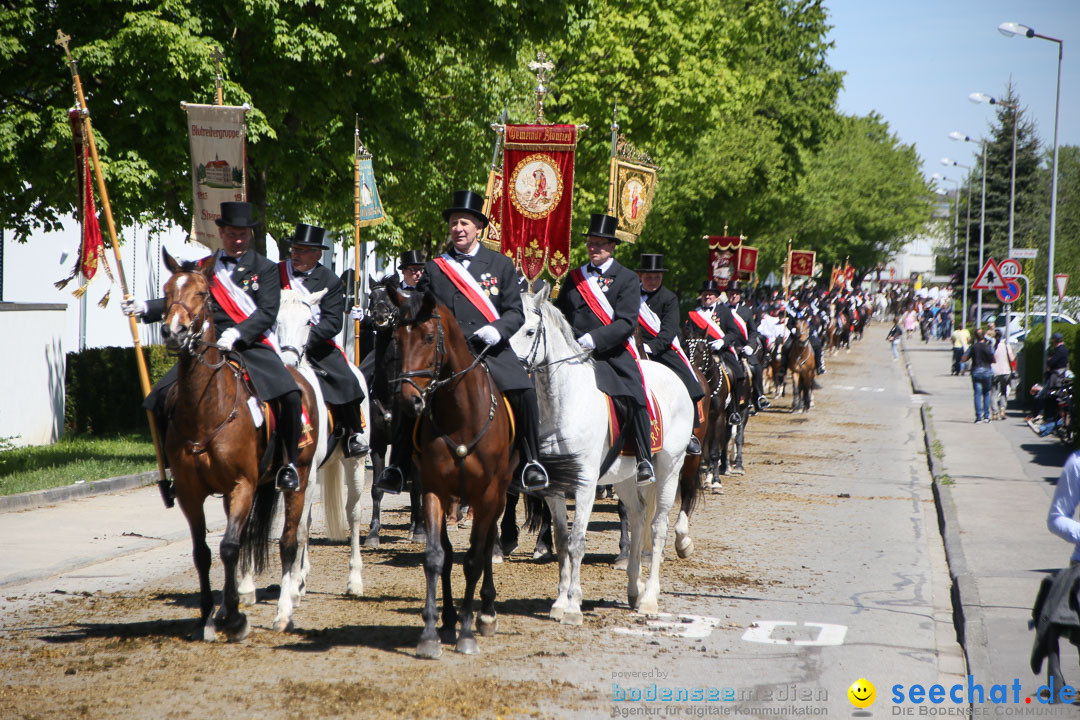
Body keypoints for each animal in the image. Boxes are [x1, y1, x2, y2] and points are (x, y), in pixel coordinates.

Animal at [157, 252, 315, 643]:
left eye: (202, 293)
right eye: (166, 291)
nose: (173, 331)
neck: (205, 409)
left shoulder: (241, 484)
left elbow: (229, 547)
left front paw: (232, 616)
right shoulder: (190, 493)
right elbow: (203, 552)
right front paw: (207, 615)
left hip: (301, 479)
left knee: (289, 541)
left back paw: (284, 612)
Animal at [236, 287, 371, 630]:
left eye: (310, 321)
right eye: (274, 320)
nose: (286, 361)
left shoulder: (301, 476)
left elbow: (295, 532)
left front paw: (289, 593)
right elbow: (254, 528)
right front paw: (247, 587)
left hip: (353, 464)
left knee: (353, 513)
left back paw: (354, 581)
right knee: (307, 521)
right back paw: (302, 578)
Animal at [388, 287, 518, 660]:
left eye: (429, 337)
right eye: (396, 338)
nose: (409, 402)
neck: (461, 414)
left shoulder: (487, 495)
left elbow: (473, 559)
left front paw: (467, 633)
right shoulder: (434, 489)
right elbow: (435, 557)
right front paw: (431, 634)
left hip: (500, 493)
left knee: (487, 545)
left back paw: (485, 614)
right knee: (447, 553)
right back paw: (447, 618)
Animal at [509, 287, 695, 621]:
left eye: (530, 331)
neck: (563, 403)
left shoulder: (584, 484)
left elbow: (578, 541)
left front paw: (573, 605)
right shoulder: (554, 485)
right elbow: (562, 540)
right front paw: (560, 601)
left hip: (669, 469)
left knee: (658, 527)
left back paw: (649, 598)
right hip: (624, 477)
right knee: (637, 516)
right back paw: (633, 590)